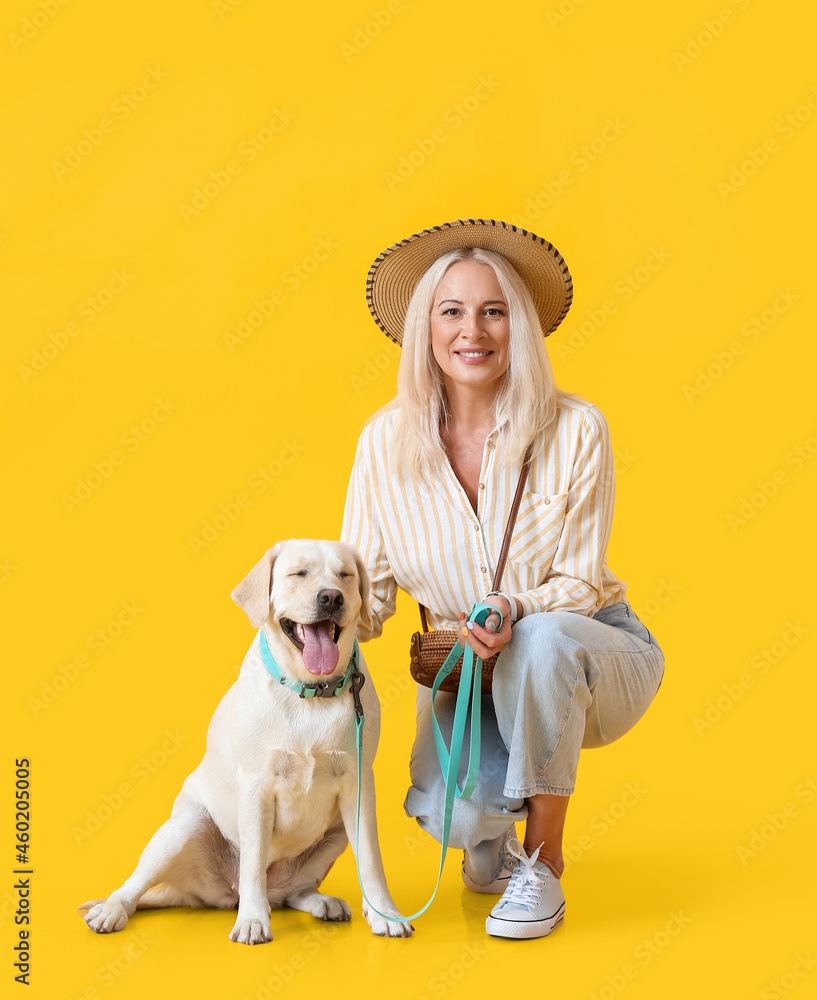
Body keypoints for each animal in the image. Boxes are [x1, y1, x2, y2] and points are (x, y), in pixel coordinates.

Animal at [78, 540, 408, 944]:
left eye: (344, 575)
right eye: (299, 573)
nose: (332, 597)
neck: (309, 691)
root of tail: (209, 894)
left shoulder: (358, 786)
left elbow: (371, 859)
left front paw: (385, 914)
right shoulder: (256, 788)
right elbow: (252, 863)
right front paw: (252, 920)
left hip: (333, 835)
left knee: (293, 893)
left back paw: (320, 902)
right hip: (182, 828)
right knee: (134, 886)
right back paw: (112, 909)